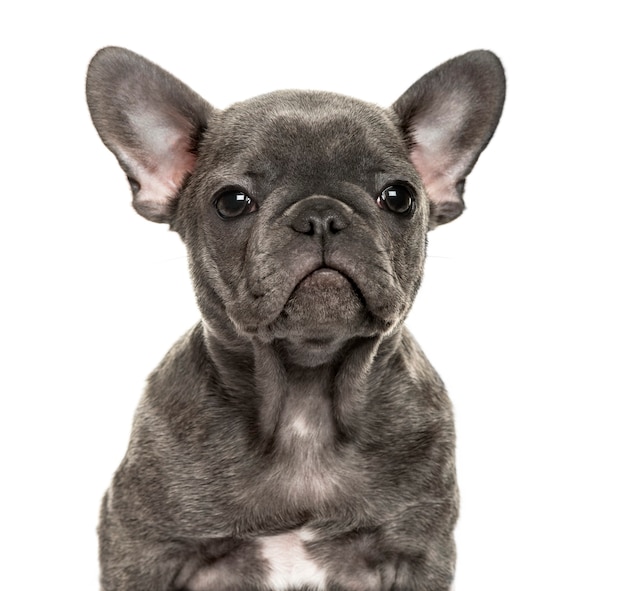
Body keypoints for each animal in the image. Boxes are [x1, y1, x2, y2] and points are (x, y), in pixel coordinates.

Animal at [86, 47, 502, 591]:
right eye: (232, 201)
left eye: (398, 197)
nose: (321, 215)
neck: (306, 398)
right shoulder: (141, 548)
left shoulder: (417, 553)